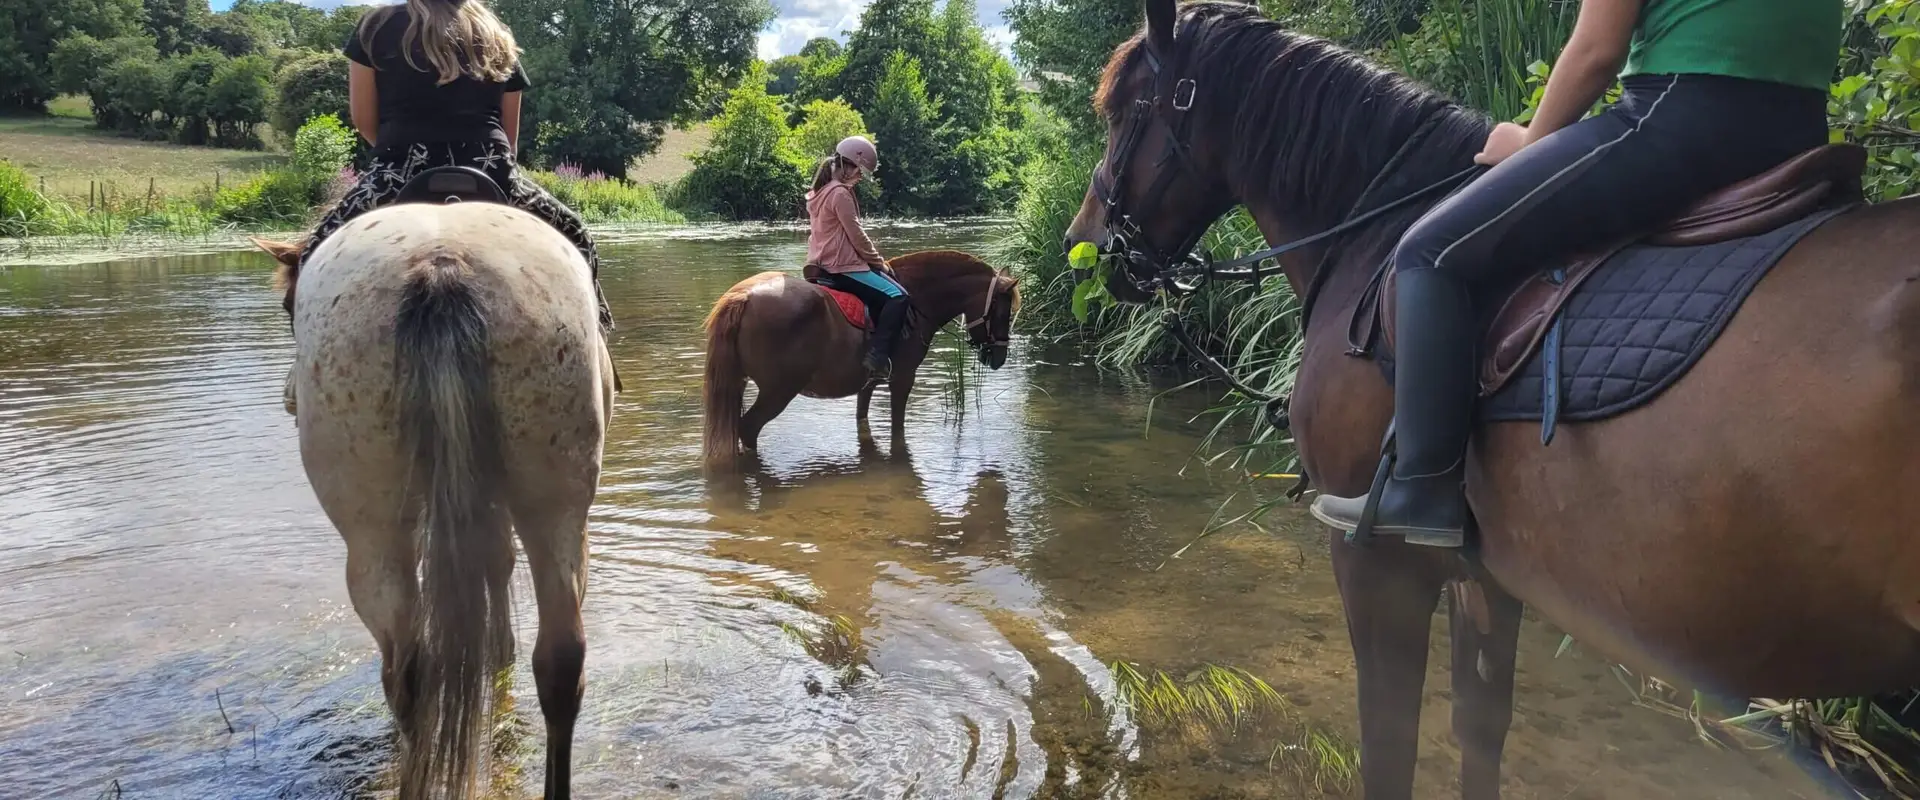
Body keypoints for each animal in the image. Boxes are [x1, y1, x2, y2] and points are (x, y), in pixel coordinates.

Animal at [251, 197, 614, 800]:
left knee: (409, 672)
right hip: (556, 509)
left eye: (285, 302)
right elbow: (494, 563)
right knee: (556, 662)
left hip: (376, 533)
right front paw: (496, 650)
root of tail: (441, 267)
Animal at [701, 249, 1019, 469]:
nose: (999, 358)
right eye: (1003, 312)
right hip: (778, 391)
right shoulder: (903, 378)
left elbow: (862, 420)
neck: (918, 299)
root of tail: (743, 297)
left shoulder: (868, 383)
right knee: (748, 428)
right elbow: (898, 429)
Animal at [1062, 2, 1920, 797]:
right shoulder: (1487, 573)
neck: (1375, 237)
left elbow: (1389, 743)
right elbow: (1480, 727)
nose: (1086, 244)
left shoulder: (1377, 562)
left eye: (1122, 111)